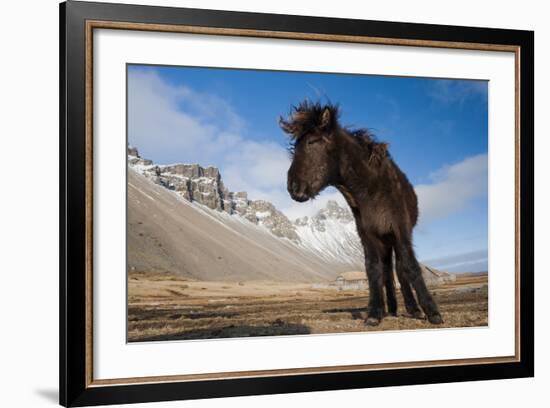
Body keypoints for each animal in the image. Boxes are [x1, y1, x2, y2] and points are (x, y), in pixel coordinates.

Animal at [280, 101, 444, 326]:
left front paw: (432, 311)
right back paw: (392, 309)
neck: (371, 190)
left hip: (393, 238)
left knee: (400, 269)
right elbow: (373, 269)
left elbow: (410, 266)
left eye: (312, 141)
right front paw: (375, 312)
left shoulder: (400, 229)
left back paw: (413, 309)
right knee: (387, 272)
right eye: (295, 147)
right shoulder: (368, 234)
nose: (293, 187)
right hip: (385, 240)